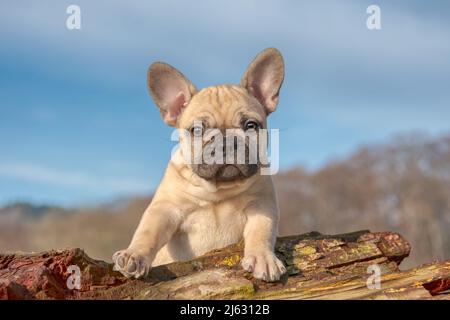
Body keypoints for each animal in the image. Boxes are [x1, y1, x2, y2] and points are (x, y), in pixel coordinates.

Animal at [114, 47, 286, 282]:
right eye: (197, 130)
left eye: (251, 126)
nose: (226, 143)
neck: (218, 191)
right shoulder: (166, 209)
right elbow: (148, 232)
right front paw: (134, 255)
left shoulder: (261, 205)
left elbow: (261, 231)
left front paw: (263, 258)